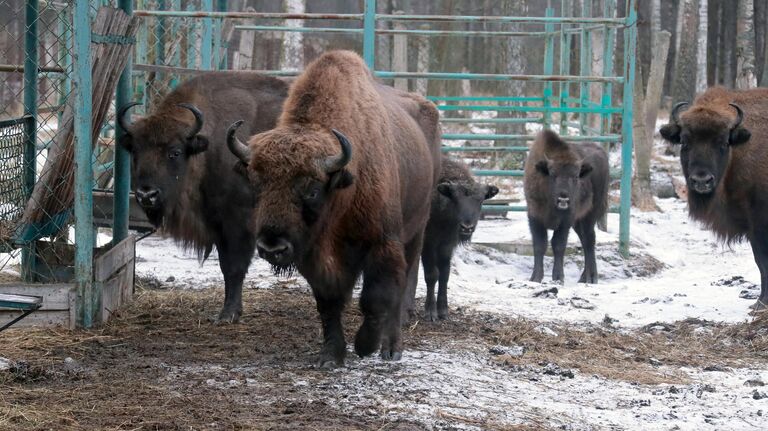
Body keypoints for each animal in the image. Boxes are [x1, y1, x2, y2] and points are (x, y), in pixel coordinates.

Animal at [117, 71, 288, 322]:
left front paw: (228, 315)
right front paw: (229, 312)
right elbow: (226, 267)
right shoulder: (217, 224)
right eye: (135, 152)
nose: (147, 194)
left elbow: (236, 266)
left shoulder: (239, 222)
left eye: (175, 152)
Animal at [225, 50, 438, 368]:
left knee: (401, 289)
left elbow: (376, 298)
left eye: (312, 189)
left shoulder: (383, 243)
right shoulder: (315, 256)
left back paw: (391, 348)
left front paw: (364, 345)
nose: (272, 247)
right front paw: (331, 356)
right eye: (256, 185)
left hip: (416, 230)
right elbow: (328, 303)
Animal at [414, 157, 498, 322]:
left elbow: (445, 274)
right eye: (455, 198)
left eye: (480, 200)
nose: (467, 227)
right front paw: (430, 312)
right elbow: (432, 274)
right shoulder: (428, 244)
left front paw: (443, 311)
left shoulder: (447, 245)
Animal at [524, 130, 608, 286]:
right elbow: (539, 245)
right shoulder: (534, 216)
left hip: (590, 214)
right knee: (584, 240)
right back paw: (584, 278)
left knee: (589, 240)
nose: (563, 198)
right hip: (578, 222)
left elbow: (558, 245)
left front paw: (558, 278)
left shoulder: (566, 220)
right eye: (552, 174)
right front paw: (535, 278)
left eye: (575, 177)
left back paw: (592, 278)